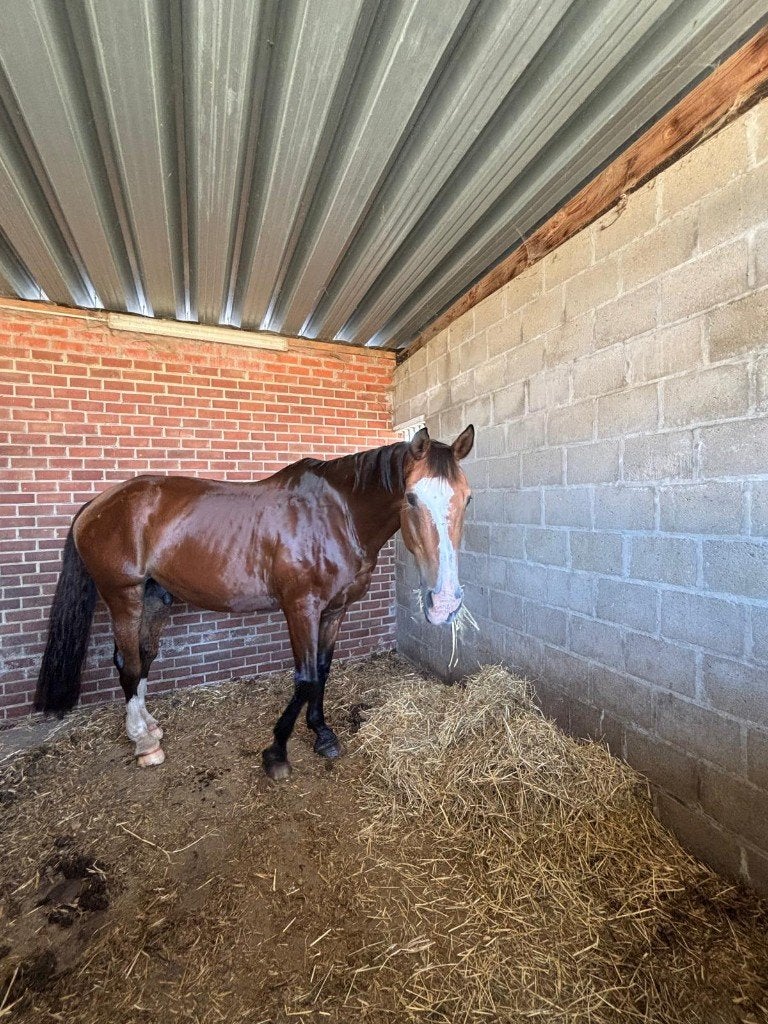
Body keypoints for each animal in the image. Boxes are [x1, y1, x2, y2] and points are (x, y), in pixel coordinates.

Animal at [33, 425, 475, 778]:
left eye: (467, 498)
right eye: (411, 497)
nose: (444, 603)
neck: (337, 515)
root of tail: (98, 504)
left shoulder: (335, 610)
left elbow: (323, 672)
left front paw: (322, 734)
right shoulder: (301, 608)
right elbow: (306, 678)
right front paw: (277, 751)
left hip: (155, 596)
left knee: (140, 658)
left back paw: (147, 726)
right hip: (123, 596)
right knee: (128, 664)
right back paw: (144, 743)